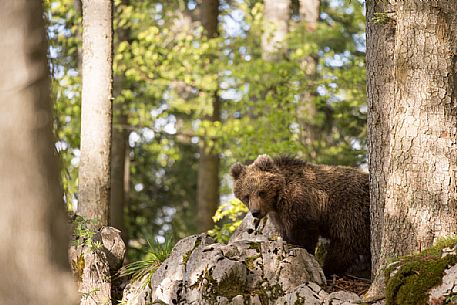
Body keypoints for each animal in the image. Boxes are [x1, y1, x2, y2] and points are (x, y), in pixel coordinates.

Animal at [230, 154, 368, 276]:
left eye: (261, 192)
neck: (278, 199)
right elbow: (285, 232)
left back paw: (329, 269)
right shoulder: (279, 216)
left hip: (349, 210)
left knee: (345, 244)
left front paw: (305, 250)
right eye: (246, 196)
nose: (255, 212)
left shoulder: (299, 201)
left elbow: (303, 231)